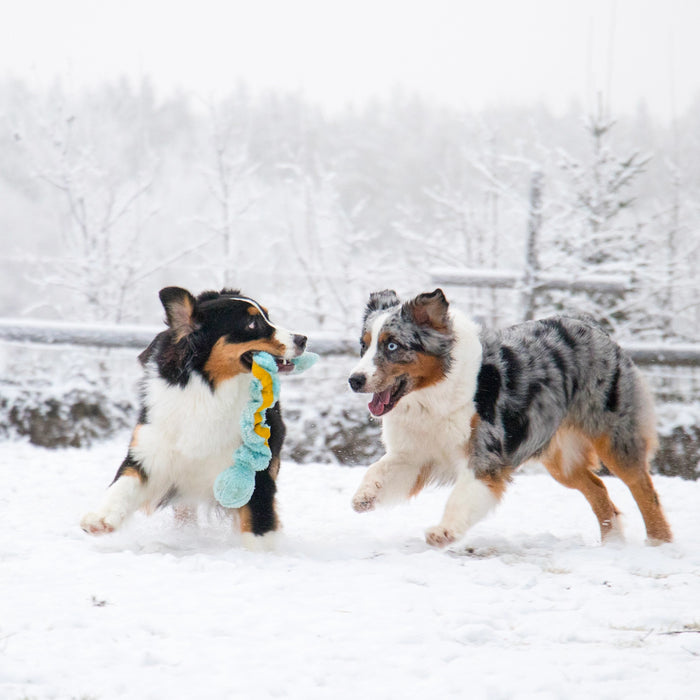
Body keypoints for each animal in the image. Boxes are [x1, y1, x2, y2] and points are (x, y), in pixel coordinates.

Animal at [81, 286, 306, 548]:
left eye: (268, 316)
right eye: (252, 323)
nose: (302, 339)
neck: (210, 390)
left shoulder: (256, 466)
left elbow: (258, 520)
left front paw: (260, 552)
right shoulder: (152, 449)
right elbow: (124, 482)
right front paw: (100, 519)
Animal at [350, 288, 672, 548]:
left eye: (392, 345)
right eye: (364, 345)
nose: (354, 380)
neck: (431, 394)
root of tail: (592, 325)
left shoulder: (485, 455)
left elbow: (462, 496)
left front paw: (444, 531)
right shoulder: (415, 453)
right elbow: (379, 469)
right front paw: (364, 496)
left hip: (614, 438)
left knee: (644, 489)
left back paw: (660, 544)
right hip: (560, 459)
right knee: (598, 489)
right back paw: (612, 544)